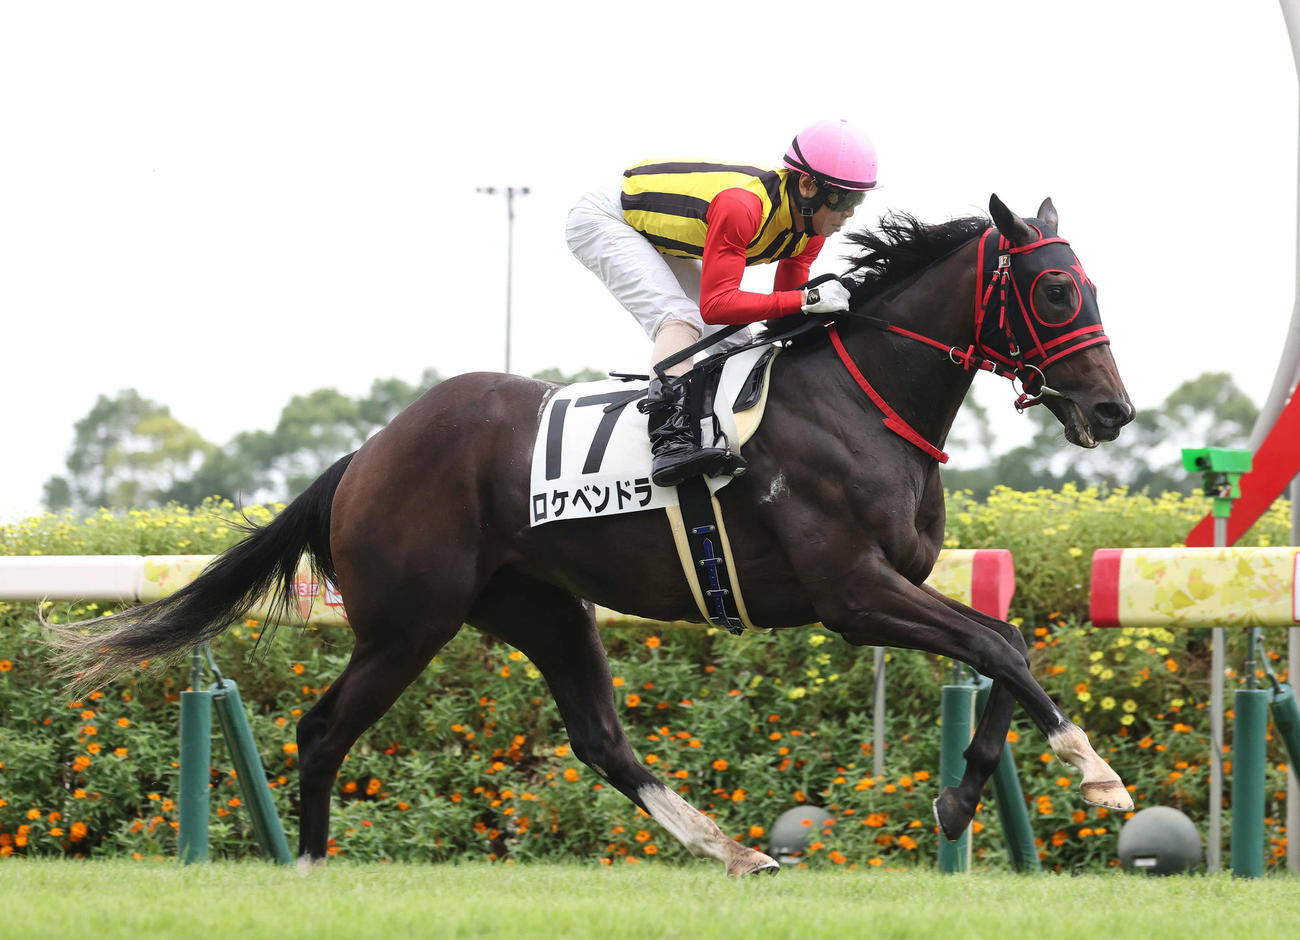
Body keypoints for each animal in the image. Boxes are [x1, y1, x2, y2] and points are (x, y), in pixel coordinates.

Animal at [52, 194, 1136, 875]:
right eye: (1053, 293)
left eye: (1091, 289)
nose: (1112, 410)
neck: (858, 398)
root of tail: (363, 456)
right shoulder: (853, 594)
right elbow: (1000, 646)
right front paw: (1095, 772)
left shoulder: (897, 583)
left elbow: (1003, 645)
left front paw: (961, 797)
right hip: (408, 622)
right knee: (323, 731)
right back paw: (312, 870)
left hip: (540, 607)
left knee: (600, 738)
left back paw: (734, 848)